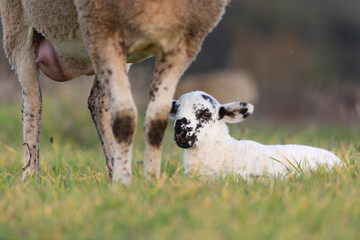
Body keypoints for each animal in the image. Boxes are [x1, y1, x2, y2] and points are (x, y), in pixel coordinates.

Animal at [0, 0, 229, 185]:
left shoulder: (182, 44)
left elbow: (156, 119)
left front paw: (151, 181)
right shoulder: (102, 26)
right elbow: (125, 116)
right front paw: (125, 184)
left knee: (97, 103)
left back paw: (113, 170)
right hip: (17, 26)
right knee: (32, 104)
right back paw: (30, 175)